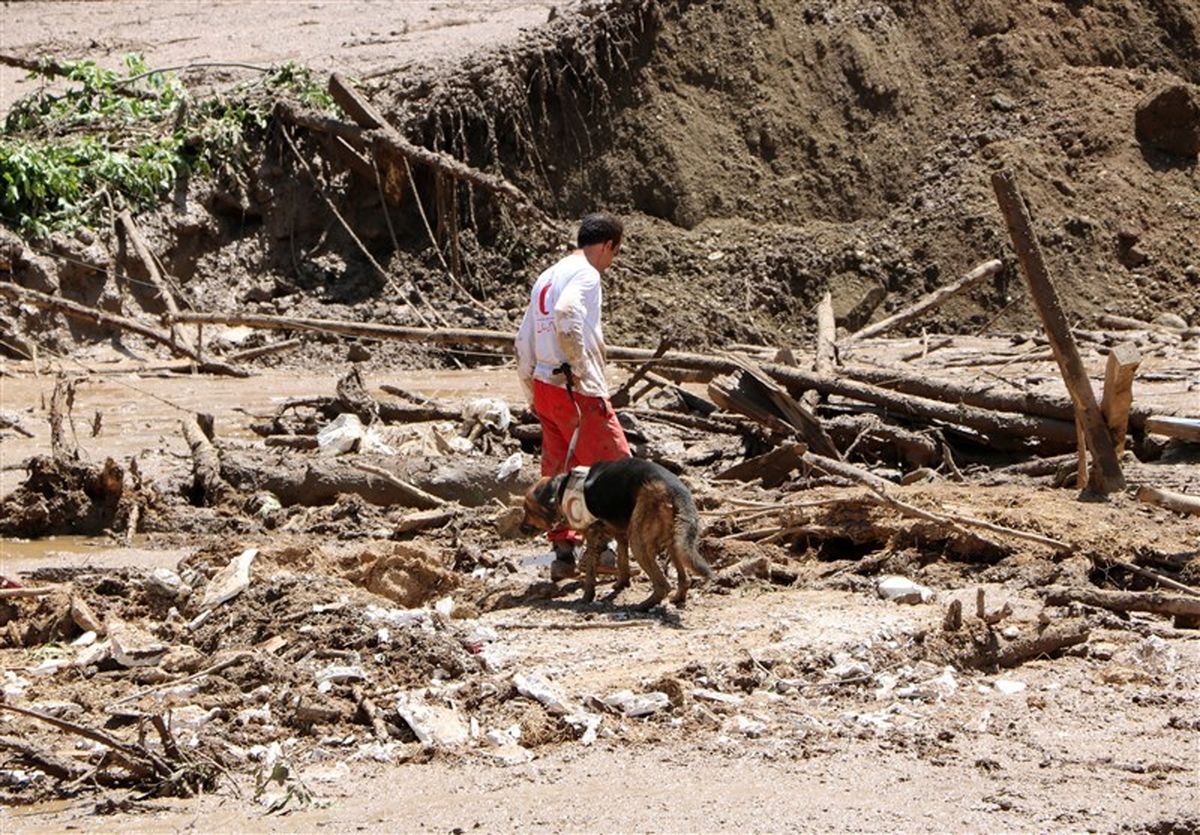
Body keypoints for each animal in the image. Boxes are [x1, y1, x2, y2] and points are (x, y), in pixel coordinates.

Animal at [518, 460, 710, 609]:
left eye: (527, 510)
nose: (520, 528)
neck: (560, 489)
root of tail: (676, 490)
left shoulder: (593, 536)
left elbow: (591, 573)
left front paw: (587, 598)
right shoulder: (620, 535)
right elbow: (622, 562)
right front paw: (621, 584)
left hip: (639, 542)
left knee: (663, 585)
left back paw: (644, 605)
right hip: (674, 540)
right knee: (683, 578)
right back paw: (677, 598)